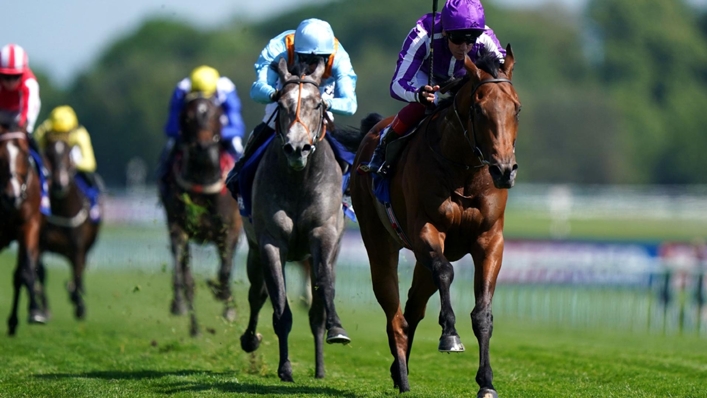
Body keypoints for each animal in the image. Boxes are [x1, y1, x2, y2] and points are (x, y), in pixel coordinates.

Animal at [39, 138, 101, 318]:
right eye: (48, 154)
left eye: (68, 154)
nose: (60, 183)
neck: (62, 209)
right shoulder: (40, 243)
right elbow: (40, 272)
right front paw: (44, 308)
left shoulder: (78, 247)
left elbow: (78, 274)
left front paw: (79, 305)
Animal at [158, 93, 243, 336]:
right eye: (186, 117)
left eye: (216, 115)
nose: (203, 146)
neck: (203, 180)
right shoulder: (178, 225)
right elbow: (182, 271)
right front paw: (178, 303)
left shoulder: (230, 229)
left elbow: (225, 271)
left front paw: (224, 299)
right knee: (187, 277)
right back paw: (194, 327)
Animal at [238, 57, 366, 380]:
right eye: (280, 103)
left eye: (318, 103)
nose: (297, 148)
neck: (299, 181)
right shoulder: (271, 243)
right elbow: (279, 306)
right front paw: (285, 368)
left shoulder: (323, 236)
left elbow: (324, 289)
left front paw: (337, 330)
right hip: (254, 251)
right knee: (256, 294)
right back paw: (250, 339)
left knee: (315, 308)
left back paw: (320, 367)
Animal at [352, 45, 520, 396]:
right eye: (478, 110)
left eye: (517, 108)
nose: (504, 170)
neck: (465, 171)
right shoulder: (425, 230)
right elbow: (445, 272)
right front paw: (450, 336)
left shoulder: (489, 240)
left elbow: (483, 313)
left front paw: (487, 382)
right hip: (379, 241)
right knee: (393, 309)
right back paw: (402, 375)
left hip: (420, 259)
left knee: (413, 307)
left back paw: (398, 368)